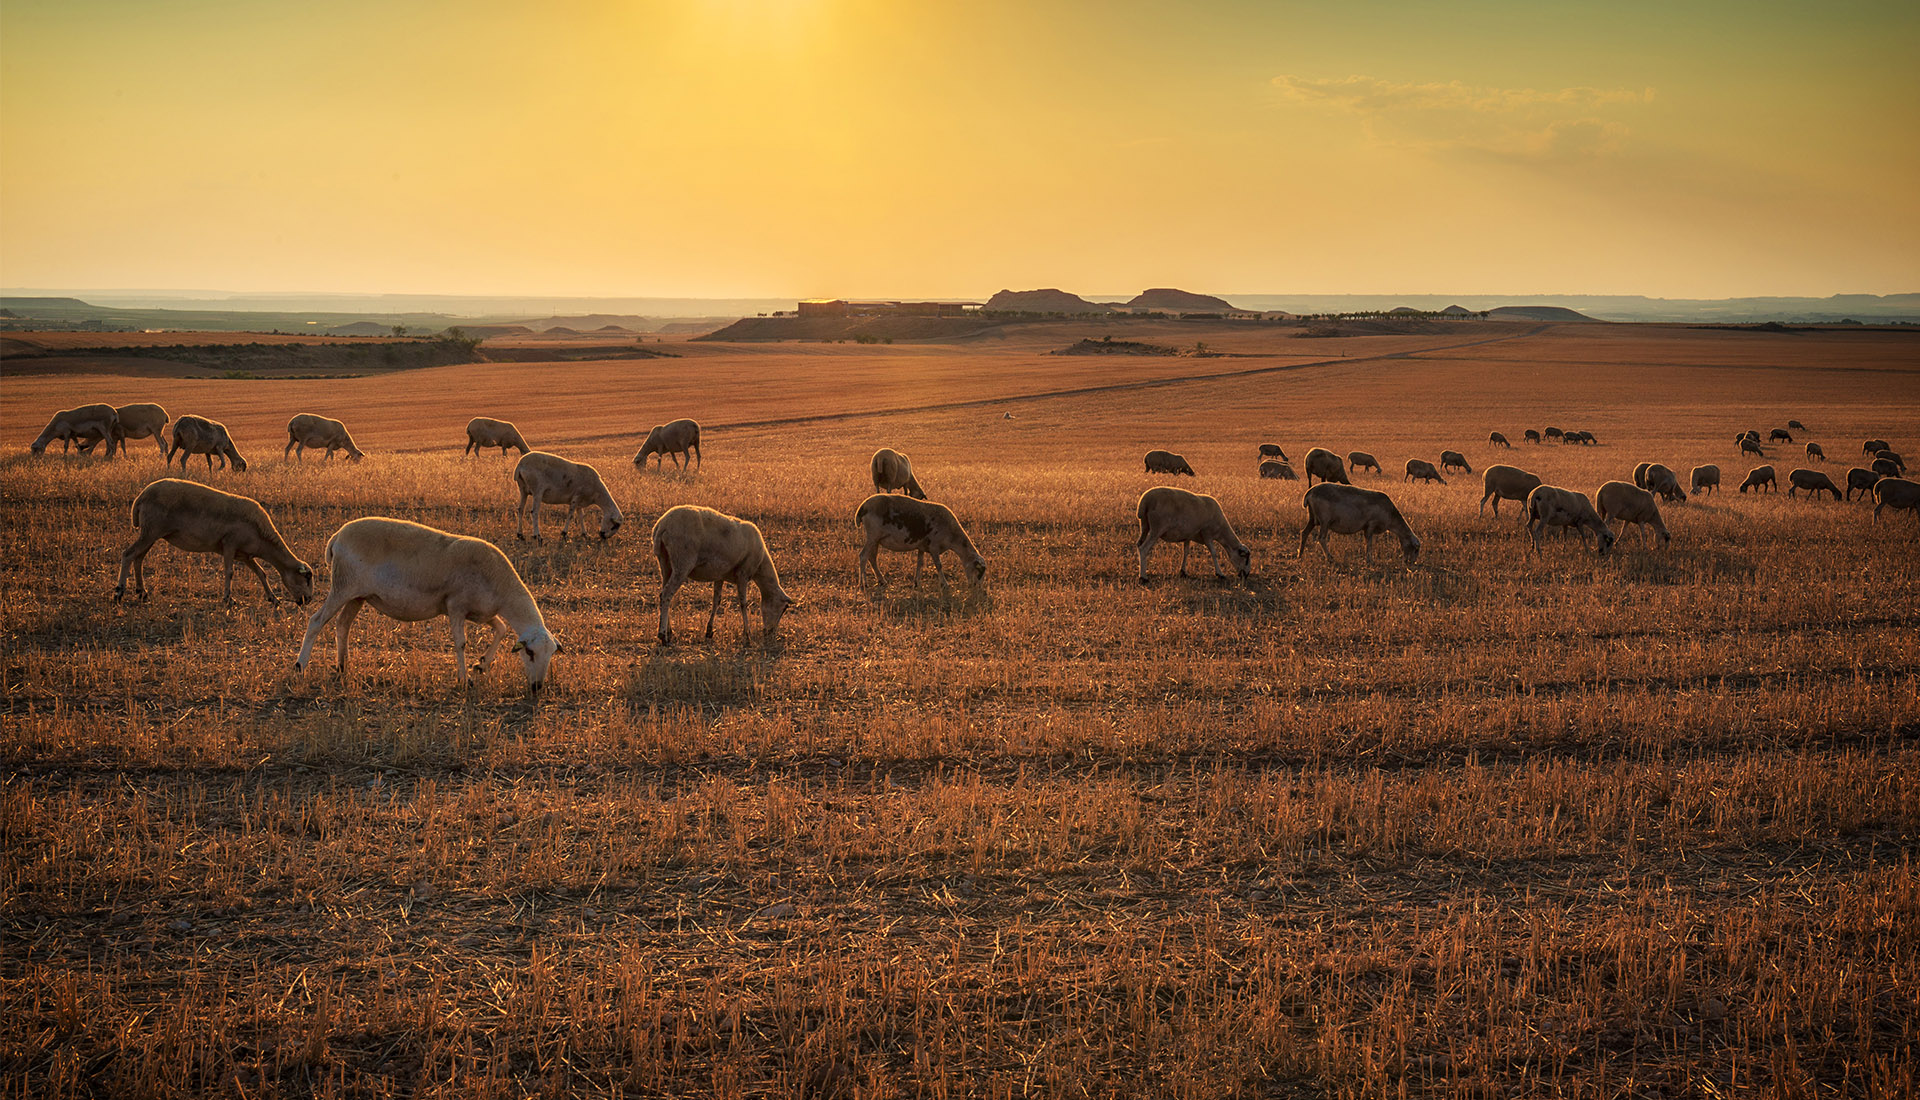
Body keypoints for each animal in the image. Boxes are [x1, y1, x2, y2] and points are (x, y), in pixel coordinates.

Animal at [114, 478, 312, 606]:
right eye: (307, 578)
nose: (308, 600)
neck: (263, 538)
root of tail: (141, 497)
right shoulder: (230, 544)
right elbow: (229, 572)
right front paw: (228, 599)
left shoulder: (245, 555)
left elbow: (261, 573)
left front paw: (273, 598)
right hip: (151, 531)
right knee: (128, 554)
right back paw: (119, 592)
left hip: (151, 533)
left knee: (139, 558)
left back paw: (142, 592)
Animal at [291, 518, 560, 687]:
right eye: (530, 652)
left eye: (551, 655)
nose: (537, 687)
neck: (501, 585)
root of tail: (336, 537)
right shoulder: (456, 606)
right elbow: (461, 643)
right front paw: (465, 679)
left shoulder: (480, 612)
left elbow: (502, 629)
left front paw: (481, 665)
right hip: (342, 586)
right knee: (316, 621)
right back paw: (300, 666)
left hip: (357, 595)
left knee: (342, 624)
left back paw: (342, 666)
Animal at [648, 502, 791, 648]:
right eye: (785, 608)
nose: (770, 634)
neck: (760, 566)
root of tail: (662, 525)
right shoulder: (743, 574)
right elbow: (743, 603)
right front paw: (747, 635)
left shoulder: (720, 575)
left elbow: (716, 600)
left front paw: (709, 631)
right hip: (682, 562)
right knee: (667, 594)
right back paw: (663, 636)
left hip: (665, 563)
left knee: (664, 594)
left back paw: (669, 632)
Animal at [860, 491, 990, 591]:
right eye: (979, 571)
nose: (977, 588)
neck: (953, 537)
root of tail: (863, 507)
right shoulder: (934, 546)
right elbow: (939, 565)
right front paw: (944, 584)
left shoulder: (922, 547)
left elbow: (920, 564)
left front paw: (917, 583)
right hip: (873, 535)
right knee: (863, 556)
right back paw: (863, 584)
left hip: (876, 539)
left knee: (872, 558)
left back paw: (882, 581)